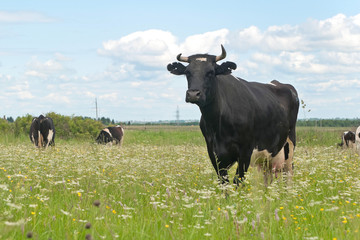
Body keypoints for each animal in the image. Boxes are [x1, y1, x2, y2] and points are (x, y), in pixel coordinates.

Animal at [167, 45, 300, 186]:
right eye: (187, 72)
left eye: (211, 72)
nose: (193, 94)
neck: (217, 122)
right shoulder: (213, 152)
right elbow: (223, 182)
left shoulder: (245, 151)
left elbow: (238, 181)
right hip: (268, 154)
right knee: (267, 176)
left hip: (289, 145)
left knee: (288, 174)